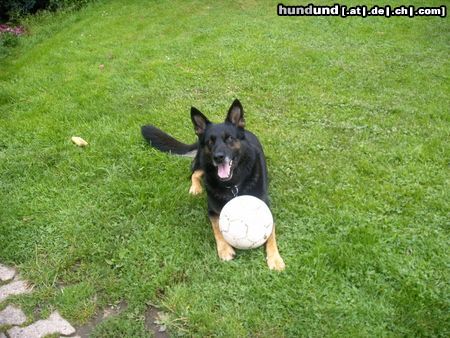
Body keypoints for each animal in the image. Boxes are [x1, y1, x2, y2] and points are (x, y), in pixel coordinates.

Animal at [141, 99, 284, 270]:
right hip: (203, 162)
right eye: (210, 141)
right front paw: (224, 249)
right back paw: (195, 188)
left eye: (229, 138)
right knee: (195, 173)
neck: (233, 185)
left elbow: (270, 235)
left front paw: (275, 258)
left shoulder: (266, 207)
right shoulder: (212, 211)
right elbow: (217, 228)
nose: (218, 157)